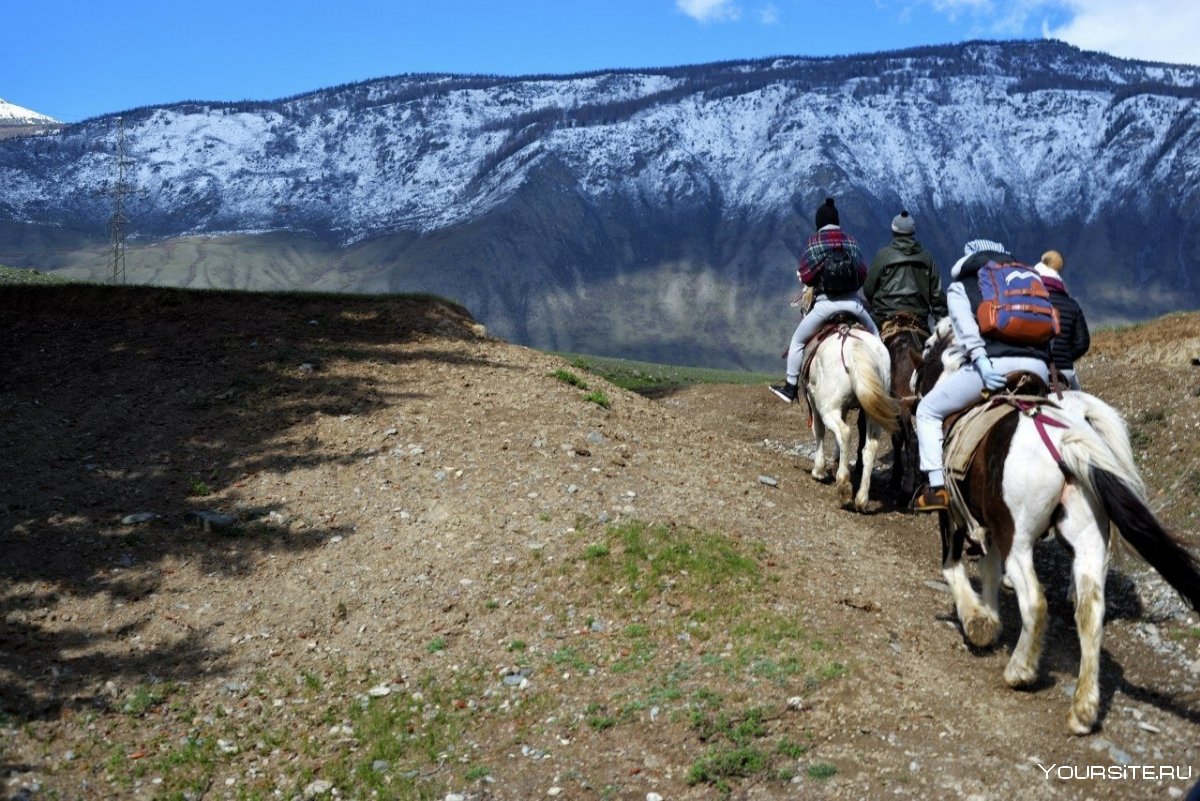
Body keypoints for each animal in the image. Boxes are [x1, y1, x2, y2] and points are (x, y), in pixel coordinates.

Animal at [806, 316, 902, 510]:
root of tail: (853, 347)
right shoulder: (843, 407)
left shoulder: (813, 398)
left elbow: (818, 431)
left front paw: (818, 470)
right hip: (873, 410)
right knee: (870, 446)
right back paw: (861, 498)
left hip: (828, 407)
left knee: (844, 432)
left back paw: (843, 485)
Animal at [907, 321, 1200, 733]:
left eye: (929, 346)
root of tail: (1064, 441)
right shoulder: (992, 526)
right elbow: (990, 570)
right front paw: (990, 618)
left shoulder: (956, 516)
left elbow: (952, 567)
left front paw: (977, 621)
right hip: (1087, 536)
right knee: (1091, 610)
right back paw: (1083, 709)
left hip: (1019, 538)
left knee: (1035, 600)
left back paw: (1020, 670)